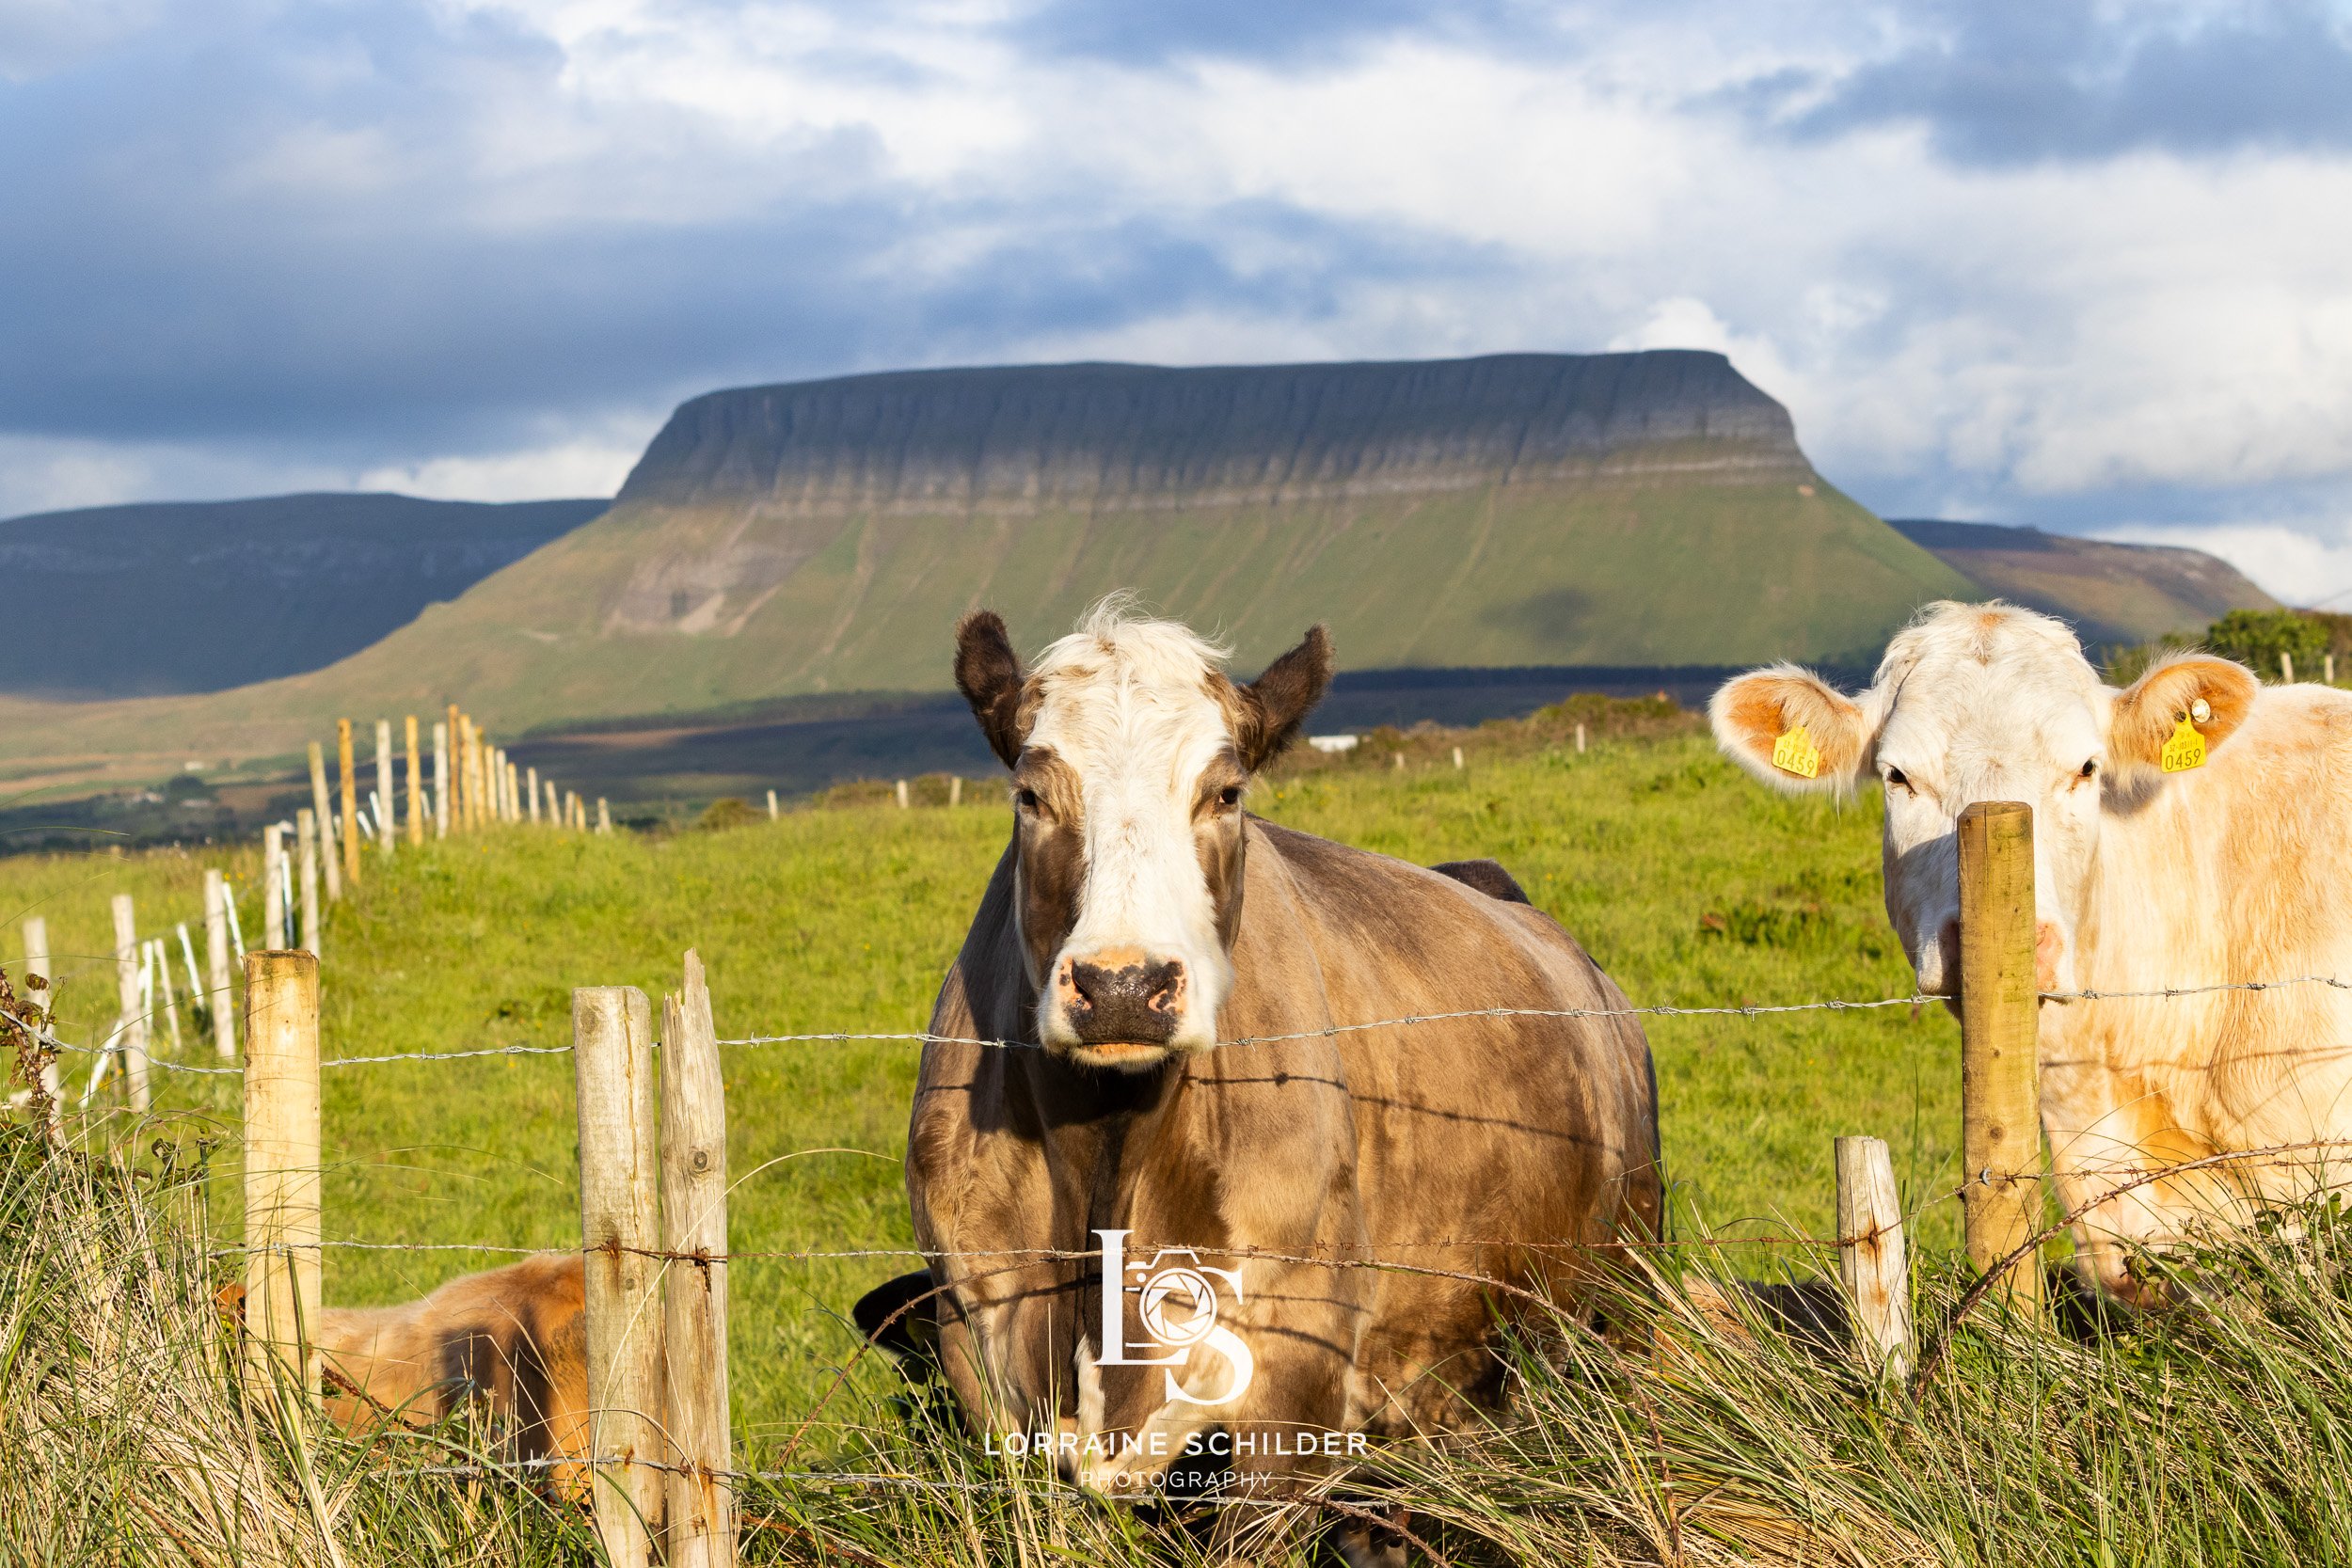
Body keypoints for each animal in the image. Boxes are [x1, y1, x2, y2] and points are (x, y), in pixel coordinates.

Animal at [888, 601, 1663, 1516]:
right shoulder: (978, 1354)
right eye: (1030, 795)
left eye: (1226, 794)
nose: (1123, 985)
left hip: (1626, 1281)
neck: (1110, 1154)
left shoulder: (1297, 1374)